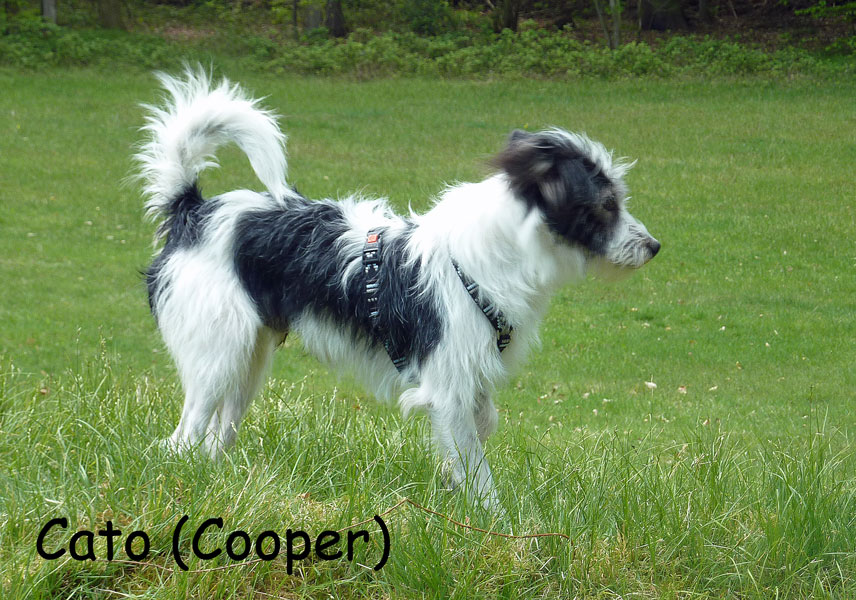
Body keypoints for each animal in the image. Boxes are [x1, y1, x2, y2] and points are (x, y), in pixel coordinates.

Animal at [135, 68, 659, 512]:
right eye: (606, 205)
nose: (654, 247)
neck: (488, 256)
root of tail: (193, 210)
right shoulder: (446, 387)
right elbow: (477, 466)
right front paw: (499, 523)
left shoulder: (466, 377)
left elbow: (482, 424)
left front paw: (454, 483)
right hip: (217, 355)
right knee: (183, 437)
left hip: (248, 360)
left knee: (217, 433)